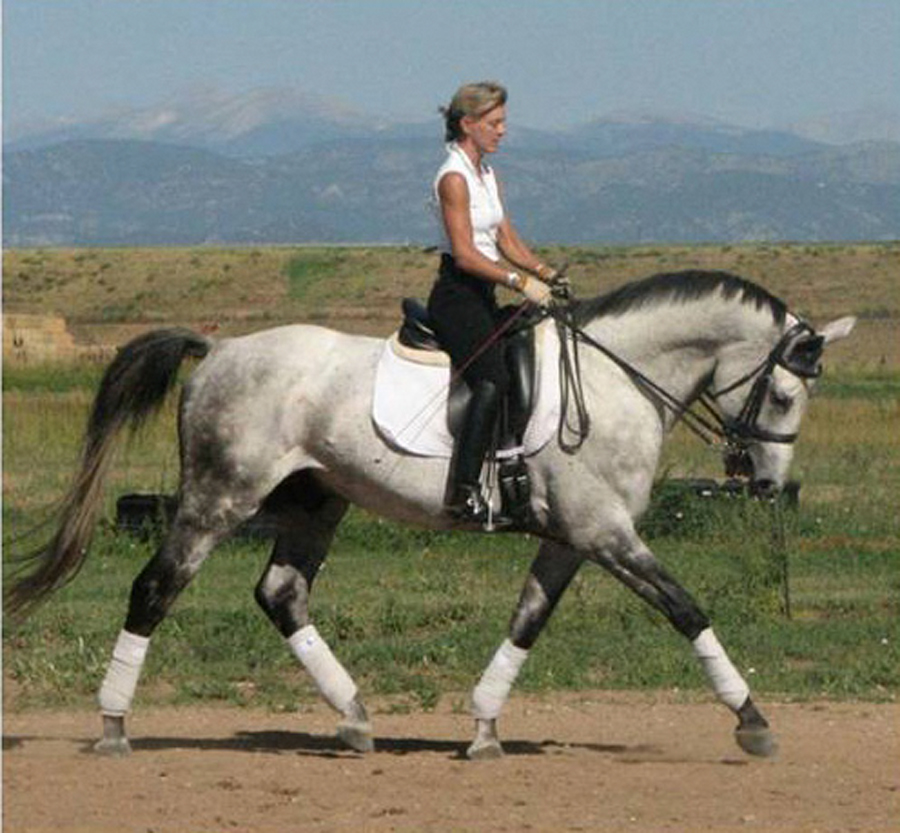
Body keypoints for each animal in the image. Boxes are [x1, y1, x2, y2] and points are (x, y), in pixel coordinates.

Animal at [7, 272, 856, 760]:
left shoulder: (574, 538)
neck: (618, 379)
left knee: (281, 593)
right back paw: (114, 724)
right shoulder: (605, 532)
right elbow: (686, 606)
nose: (768, 483)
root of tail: (217, 351)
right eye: (785, 394)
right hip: (221, 497)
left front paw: (482, 727)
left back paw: (355, 718)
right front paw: (751, 718)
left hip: (316, 500)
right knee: (155, 588)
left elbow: (527, 621)